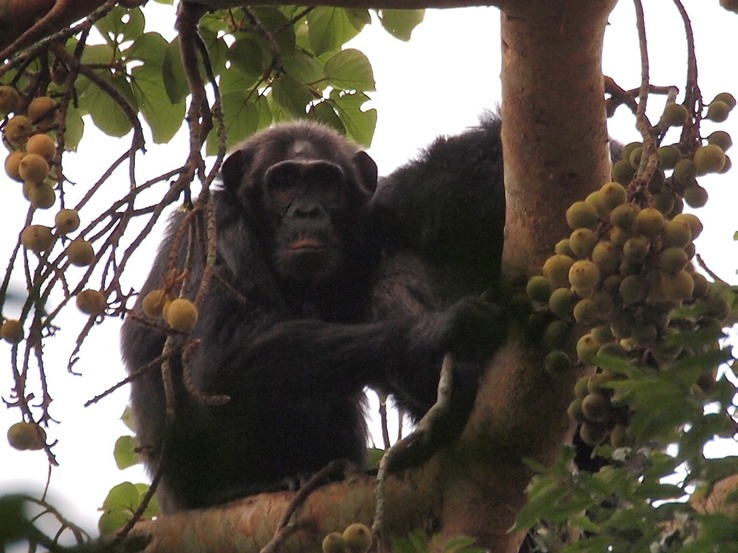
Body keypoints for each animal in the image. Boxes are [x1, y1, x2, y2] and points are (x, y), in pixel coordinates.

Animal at [122, 121, 506, 512]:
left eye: (325, 182)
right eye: (284, 182)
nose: (307, 210)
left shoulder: (377, 218)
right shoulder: (215, 232)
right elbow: (218, 362)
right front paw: (439, 329)